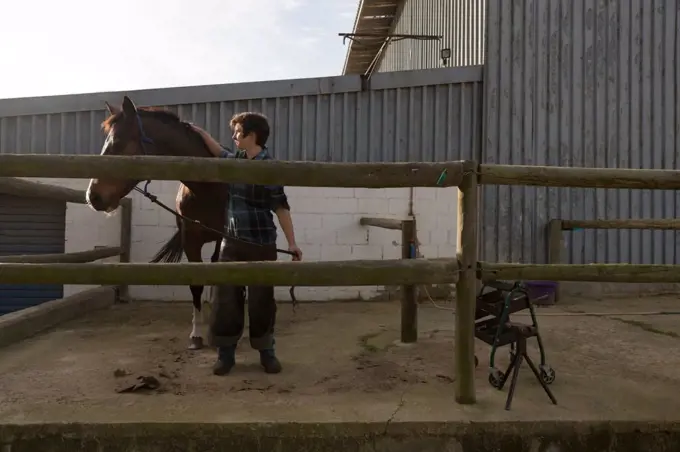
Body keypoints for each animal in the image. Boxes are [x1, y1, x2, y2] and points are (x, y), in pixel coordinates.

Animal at [85, 95, 226, 350]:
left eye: (117, 142)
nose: (93, 196)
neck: (207, 190)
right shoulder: (190, 241)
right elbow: (196, 284)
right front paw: (196, 334)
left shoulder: (222, 237)